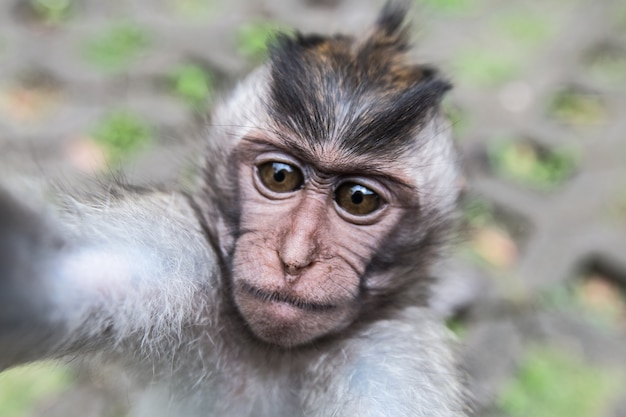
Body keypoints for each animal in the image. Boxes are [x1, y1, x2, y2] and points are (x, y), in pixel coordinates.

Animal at [0, 3, 468, 416]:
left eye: (358, 198)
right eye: (280, 176)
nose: (293, 260)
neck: (274, 352)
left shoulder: (392, 356)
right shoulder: (180, 263)